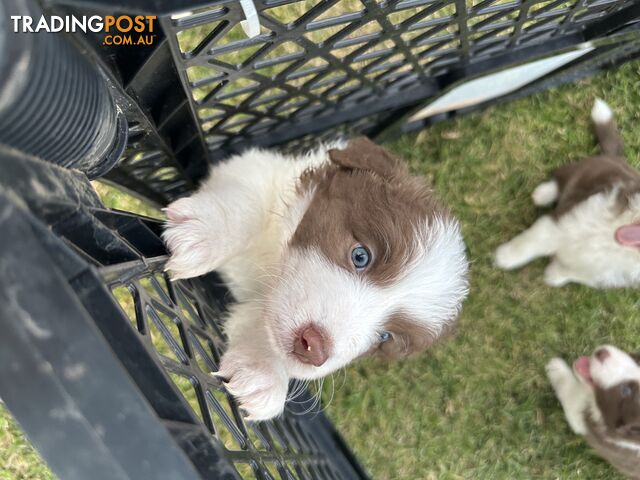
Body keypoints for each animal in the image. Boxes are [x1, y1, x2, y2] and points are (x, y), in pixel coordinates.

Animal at [162, 136, 468, 420]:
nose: (314, 349)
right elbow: (250, 203)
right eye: (361, 256)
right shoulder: (252, 167)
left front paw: (263, 368)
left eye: (385, 336)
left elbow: (267, 325)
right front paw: (205, 234)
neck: (274, 260)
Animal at [496, 97, 640, 284]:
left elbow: (573, 273)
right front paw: (504, 257)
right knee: (560, 177)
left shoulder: (599, 273)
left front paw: (553, 275)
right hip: (582, 169)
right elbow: (530, 243)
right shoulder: (564, 221)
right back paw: (542, 194)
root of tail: (616, 158)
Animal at [544, 346, 640, 478]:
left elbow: (571, 393)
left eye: (626, 390)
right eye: (637, 360)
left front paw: (555, 367)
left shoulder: (588, 425)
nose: (603, 353)